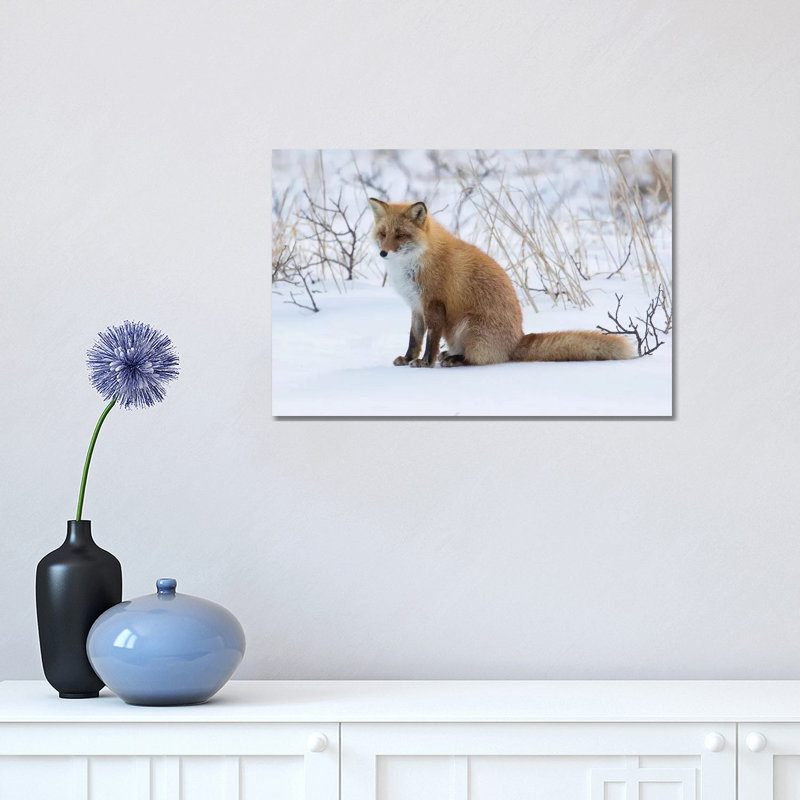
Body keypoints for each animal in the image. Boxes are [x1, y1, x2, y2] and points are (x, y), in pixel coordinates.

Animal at [369, 198, 633, 367]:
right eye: (383, 234)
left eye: (401, 235)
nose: (383, 253)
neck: (416, 262)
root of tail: (517, 339)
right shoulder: (416, 306)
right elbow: (414, 338)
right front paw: (407, 358)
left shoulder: (433, 303)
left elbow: (431, 340)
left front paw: (425, 362)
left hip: (467, 327)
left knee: (478, 359)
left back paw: (455, 359)